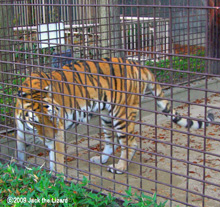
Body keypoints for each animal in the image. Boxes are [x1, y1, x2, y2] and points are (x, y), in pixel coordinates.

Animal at [14, 57, 214, 174]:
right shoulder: (20, 132)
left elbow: (57, 160)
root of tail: (139, 65)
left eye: (52, 117)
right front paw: (18, 169)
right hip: (106, 116)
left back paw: (119, 168)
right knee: (111, 142)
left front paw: (56, 179)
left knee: (130, 143)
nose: (50, 137)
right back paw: (101, 159)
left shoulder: (59, 134)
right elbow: (20, 153)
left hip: (121, 114)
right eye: (37, 122)